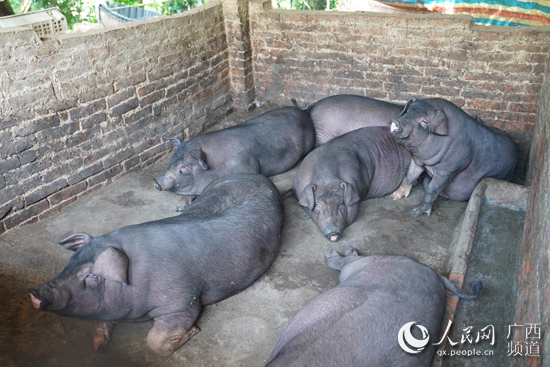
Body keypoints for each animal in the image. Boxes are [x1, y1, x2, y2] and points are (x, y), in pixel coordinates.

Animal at [154, 105, 314, 211]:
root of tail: (302, 111)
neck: (216, 166)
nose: (156, 181)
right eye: (172, 161)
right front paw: (179, 207)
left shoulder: (248, 167)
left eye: (185, 167)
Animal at [390, 98, 520, 218]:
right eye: (408, 110)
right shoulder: (418, 161)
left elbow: (432, 190)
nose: (396, 122)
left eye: (424, 121)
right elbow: (409, 175)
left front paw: (415, 213)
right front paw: (394, 196)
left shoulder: (448, 170)